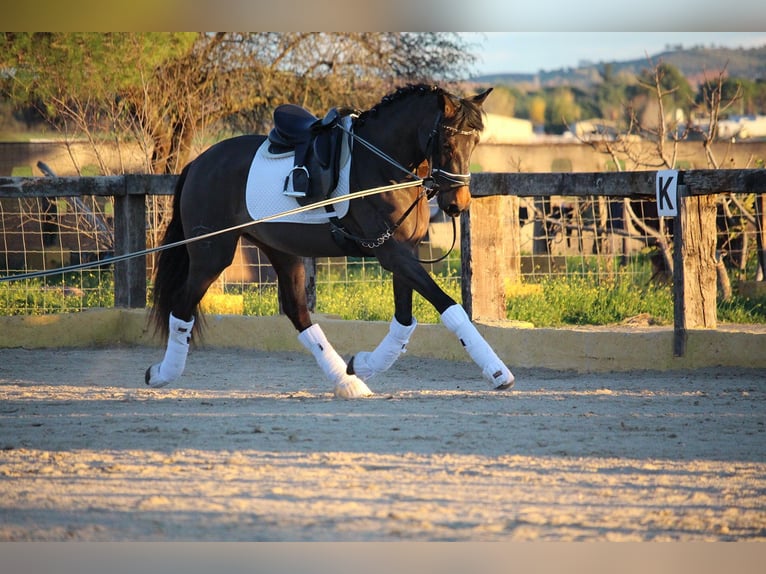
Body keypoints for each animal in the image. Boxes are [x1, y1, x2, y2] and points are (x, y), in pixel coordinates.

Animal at [146, 83, 516, 398]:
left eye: (474, 144)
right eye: (447, 143)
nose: (458, 204)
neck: (382, 166)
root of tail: (199, 162)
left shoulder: (405, 253)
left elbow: (403, 321)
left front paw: (363, 364)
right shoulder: (392, 253)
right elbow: (449, 308)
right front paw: (498, 373)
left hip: (282, 252)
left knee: (297, 313)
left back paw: (347, 382)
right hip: (212, 253)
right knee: (182, 308)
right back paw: (162, 373)